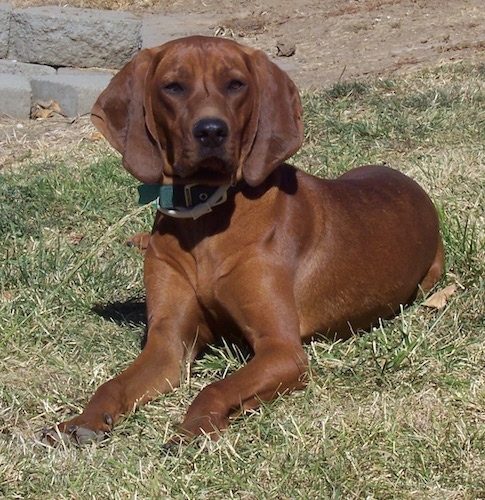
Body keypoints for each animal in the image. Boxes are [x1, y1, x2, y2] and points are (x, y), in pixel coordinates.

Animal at [41, 36, 442, 446]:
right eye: (173, 87)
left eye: (236, 84)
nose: (211, 131)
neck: (205, 219)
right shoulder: (168, 343)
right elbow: (112, 385)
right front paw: (81, 421)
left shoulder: (281, 349)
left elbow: (215, 387)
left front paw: (195, 427)